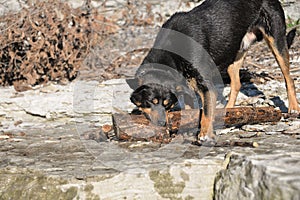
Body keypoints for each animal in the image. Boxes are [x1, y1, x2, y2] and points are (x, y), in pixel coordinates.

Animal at [126, 0, 298, 144]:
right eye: (151, 102)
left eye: (167, 104)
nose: (162, 124)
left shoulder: (206, 86)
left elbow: (207, 112)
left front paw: (205, 135)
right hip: (235, 53)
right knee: (236, 83)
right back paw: (229, 110)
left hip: (276, 40)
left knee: (288, 77)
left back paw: (294, 107)